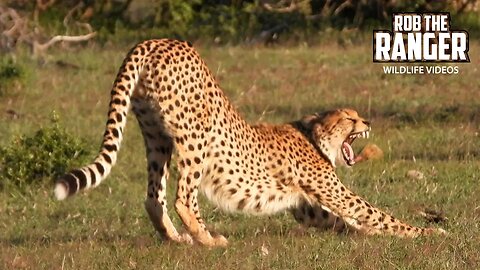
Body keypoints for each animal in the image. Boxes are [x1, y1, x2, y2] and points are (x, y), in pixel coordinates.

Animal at [54, 38, 444, 247]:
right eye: (350, 118)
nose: (368, 122)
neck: (313, 135)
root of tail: (157, 41)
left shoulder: (305, 203)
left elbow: (343, 219)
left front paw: (364, 233)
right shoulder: (333, 192)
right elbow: (376, 213)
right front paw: (426, 231)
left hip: (156, 135)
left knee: (154, 196)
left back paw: (175, 239)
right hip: (196, 137)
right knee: (183, 196)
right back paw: (208, 240)